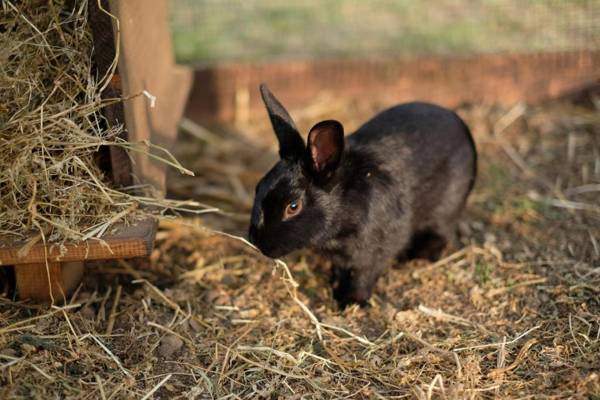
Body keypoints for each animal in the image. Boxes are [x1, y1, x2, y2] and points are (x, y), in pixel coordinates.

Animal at [246, 84, 476, 308]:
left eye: (293, 206)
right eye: (258, 187)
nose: (257, 243)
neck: (344, 207)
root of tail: (462, 128)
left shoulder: (372, 253)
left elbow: (362, 276)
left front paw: (351, 302)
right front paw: (336, 288)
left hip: (446, 209)